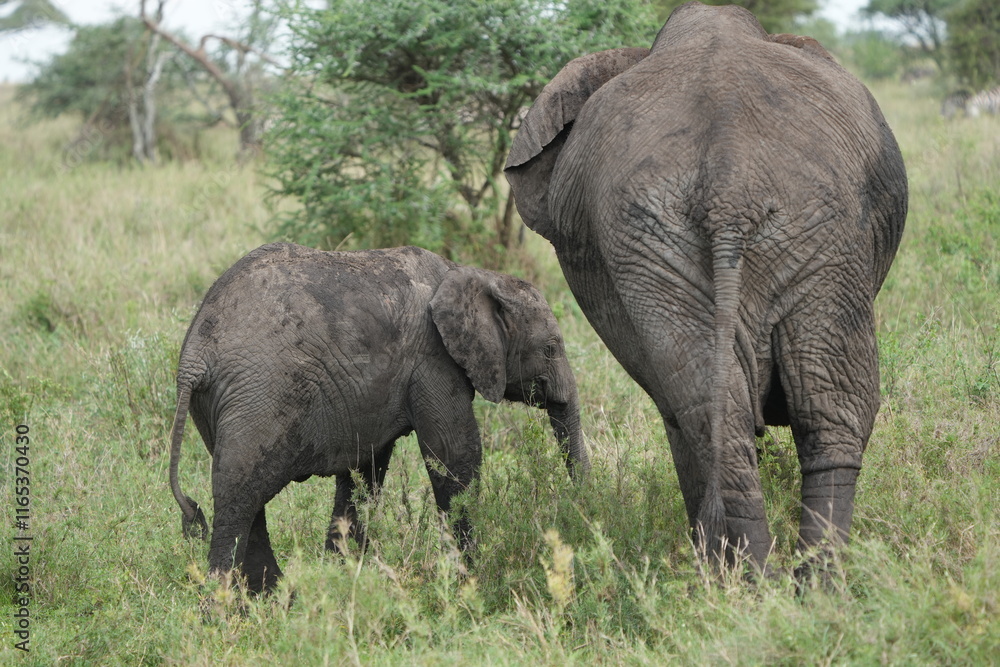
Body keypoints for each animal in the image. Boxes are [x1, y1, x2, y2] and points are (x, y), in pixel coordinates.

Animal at [167, 242, 585, 593]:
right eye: (551, 348)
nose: (583, 506)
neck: (472, 275)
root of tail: (195, 355)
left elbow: (365, 470)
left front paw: (343, 574)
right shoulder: (433, 361)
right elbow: (454, 456)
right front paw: (469, 578)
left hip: (220, 405)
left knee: (248, 500)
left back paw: (274, 600)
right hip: (258, 398)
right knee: (237, 500)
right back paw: (224, 609)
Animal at [505, 2, 907, 573]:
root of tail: (728, 177)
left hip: (799, 231)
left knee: (766, 415)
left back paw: (765, 583)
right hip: (736, 242)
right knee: (801, 414)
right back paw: (771, 585)